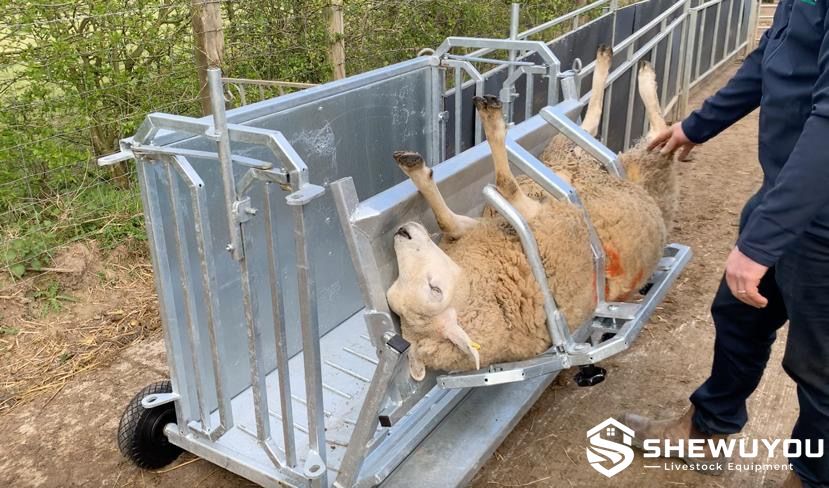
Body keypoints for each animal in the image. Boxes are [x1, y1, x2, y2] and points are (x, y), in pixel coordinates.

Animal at [387, 48, 677, 380]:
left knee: (596, 124)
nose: (402, 232)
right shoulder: (532, 214)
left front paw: (416, 169)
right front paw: (490, 125)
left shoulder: (486, 222)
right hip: (630, 162)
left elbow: (447, 219)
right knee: (656, 131)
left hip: (572, 153)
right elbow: (502, 185)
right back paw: (641, 75)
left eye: (434, 289)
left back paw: (616, 62)